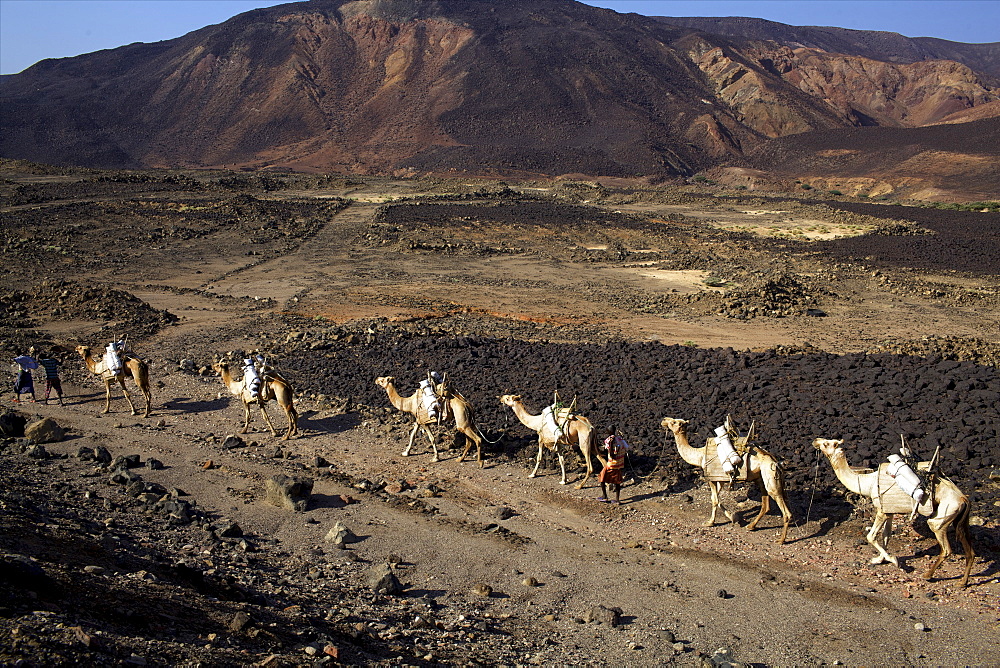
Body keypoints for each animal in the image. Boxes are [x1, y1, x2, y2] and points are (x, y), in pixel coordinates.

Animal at [660, 418, 792, 544]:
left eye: (674, 422)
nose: (664, 420)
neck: (700, 456)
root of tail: (775, 461)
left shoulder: (711, 478)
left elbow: (714, 499)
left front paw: (711, 522)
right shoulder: (720, 479)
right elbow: (716, 498)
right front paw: (733, 517)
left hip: (769, 476)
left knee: (784, 510)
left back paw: (781, 540)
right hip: (761, 478)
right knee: (766, 505)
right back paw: (751, 526)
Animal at [812, 438, 968, 584]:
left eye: (826, 444)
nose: (815, 441)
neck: (868, 483)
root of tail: (964, 499)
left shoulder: (881, 511)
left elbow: (871, 536)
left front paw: (894, 560)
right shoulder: (889, 510)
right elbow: (886, 535)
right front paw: (879, 560)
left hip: (943, 515)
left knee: (945, 546)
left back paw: (928, 575)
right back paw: (962, 583)